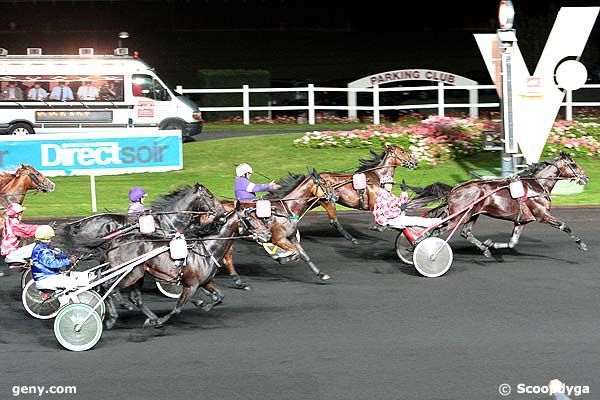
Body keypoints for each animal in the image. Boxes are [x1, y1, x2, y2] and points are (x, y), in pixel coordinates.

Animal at [103, 200, 272, 328]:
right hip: (129, 274)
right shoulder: (191, 285)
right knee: (107, 287)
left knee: (134, 297)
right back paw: (112, 317)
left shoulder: (205, 281)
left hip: (139, 274)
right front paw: (160, 321)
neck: (207, 249)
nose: (268, 234)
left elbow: (219, 296)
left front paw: (202, 304)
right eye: (251, 219)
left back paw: (146, 316)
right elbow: (178, 308)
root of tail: (115, 242)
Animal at [412, 152, 592, 258]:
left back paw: (484, 249)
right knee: (436, 230)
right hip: (457, 218)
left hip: (472, 214)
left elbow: (513, 242)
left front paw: (491, 244)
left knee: (465, 233)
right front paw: (582, 244)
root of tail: (455, 189)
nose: (586, 177)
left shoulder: (521, 221)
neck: (537, 185)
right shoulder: (543, 215)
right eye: (573, 164)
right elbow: (564, 226)